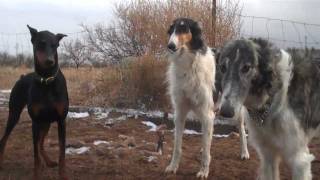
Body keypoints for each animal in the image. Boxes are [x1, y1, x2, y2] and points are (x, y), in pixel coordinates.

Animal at [165, 17, 250, 179]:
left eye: (184, 28)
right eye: (171, 30)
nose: (170, 46)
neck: (188, 64)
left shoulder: (206, 112)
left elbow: (206, 150)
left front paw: (204, 171)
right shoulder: (180, 113)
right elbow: (177, 147)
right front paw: (173, 167)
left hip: (234, 111)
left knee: (242, 130)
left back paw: (244, 153)